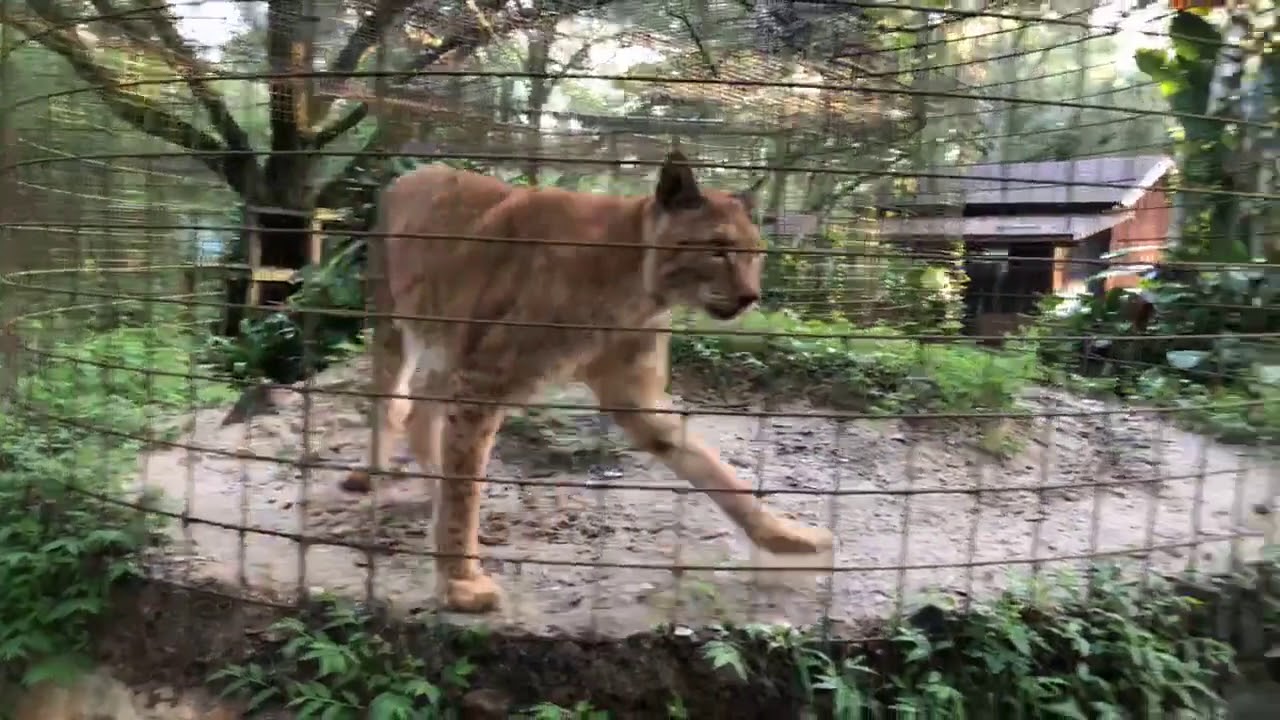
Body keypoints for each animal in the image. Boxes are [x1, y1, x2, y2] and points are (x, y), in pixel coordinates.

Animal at [343, 151, 834, 613]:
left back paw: (431, 482)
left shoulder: (634, 395)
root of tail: (415, 171)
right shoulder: (483, 381)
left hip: (450, 342)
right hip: (392, 320)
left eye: (755, 253)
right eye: (718, 248)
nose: (751, 296)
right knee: (388, 399)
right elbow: (466, 488)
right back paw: (374, 472)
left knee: (421, 408)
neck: (638, 285)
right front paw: (460, 584)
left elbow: (711, 467)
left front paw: (784, 536)